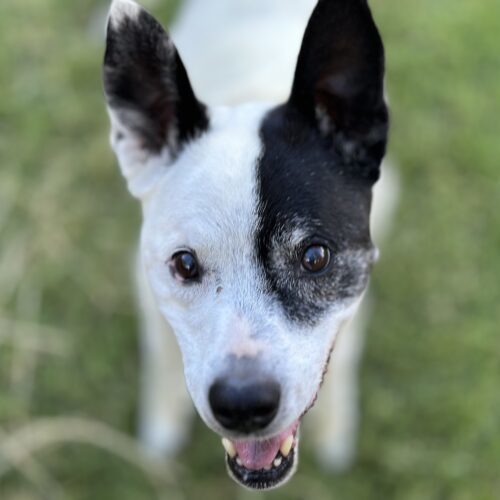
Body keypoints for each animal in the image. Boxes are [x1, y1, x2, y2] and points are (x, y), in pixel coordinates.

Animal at [102, 0, 398, 490]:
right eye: (184, 264)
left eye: (315, 257)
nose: (243, 405)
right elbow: (162, 361)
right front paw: (160, 423)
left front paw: (336, 426)